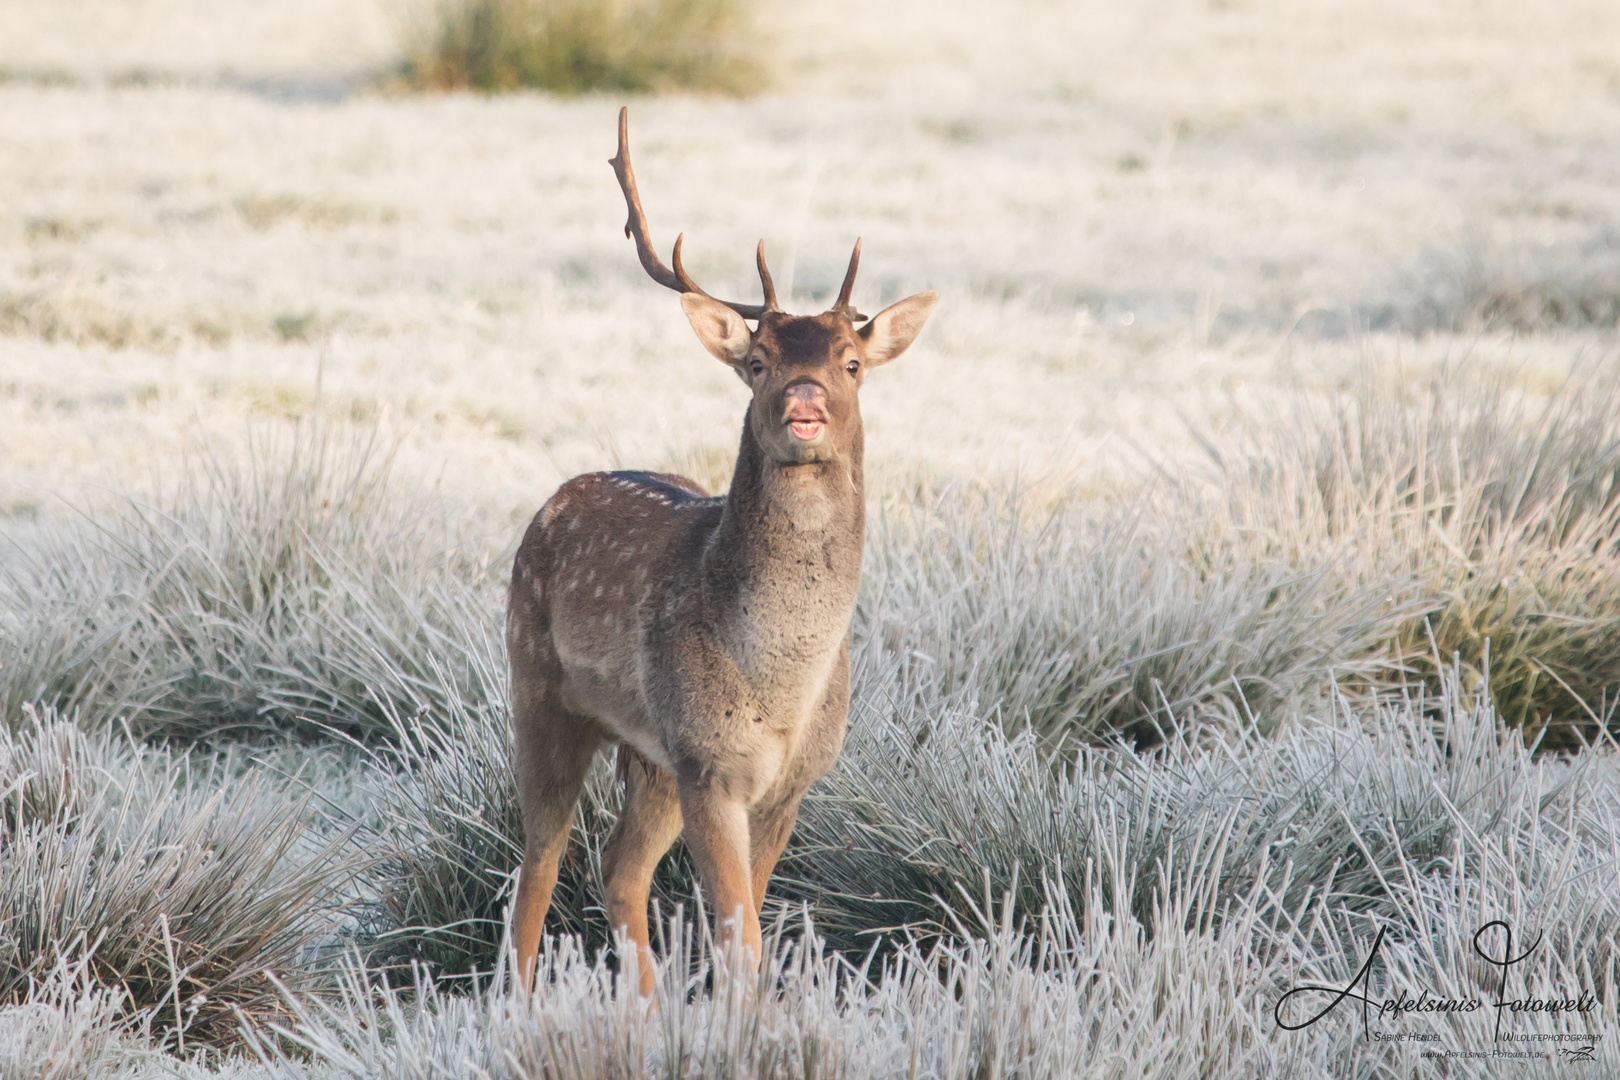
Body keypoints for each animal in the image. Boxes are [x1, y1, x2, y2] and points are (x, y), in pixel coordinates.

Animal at [505, 110, 939, 997]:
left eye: (851, 363)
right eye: (758, 360)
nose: (805, 401)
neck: (781, 684)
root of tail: (554, 499)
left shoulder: (786, 781)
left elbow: (750, 928)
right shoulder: (709, 761)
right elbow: (740, 940)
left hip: (652, 754)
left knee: (618, 868)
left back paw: (643, 1008)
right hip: (538, 686)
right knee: (540, 862)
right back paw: (521, 1002)